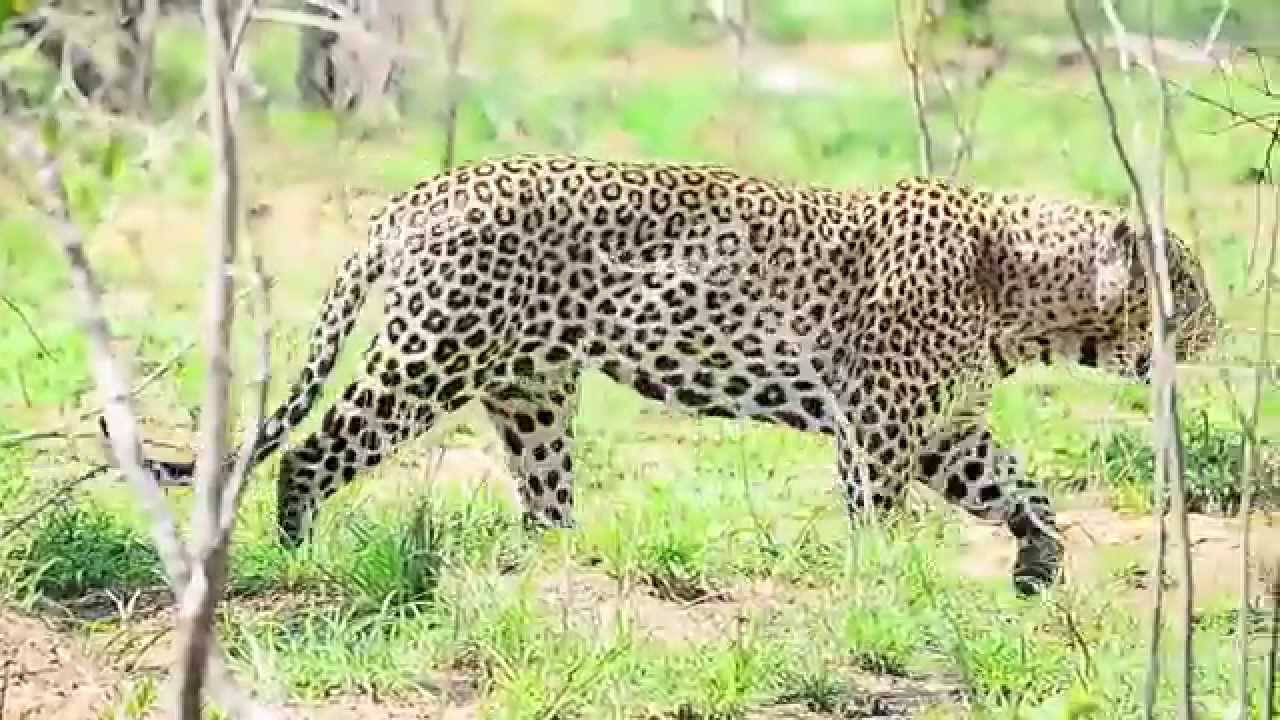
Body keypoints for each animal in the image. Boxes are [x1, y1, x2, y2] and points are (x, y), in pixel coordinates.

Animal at [109, 153, 1220, 597]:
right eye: (1193, 289)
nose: (1215, 331)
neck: (1026, 297)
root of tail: (419, 193)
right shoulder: (880, 427)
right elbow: (880, 519)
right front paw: (883, 585)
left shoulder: (949, 429)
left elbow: (1022, 490)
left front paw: (1037, 562)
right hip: (431, 356)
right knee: (314, 448)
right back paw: (296, 553)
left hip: (530, 390)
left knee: (543, 498)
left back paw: (568, 566)